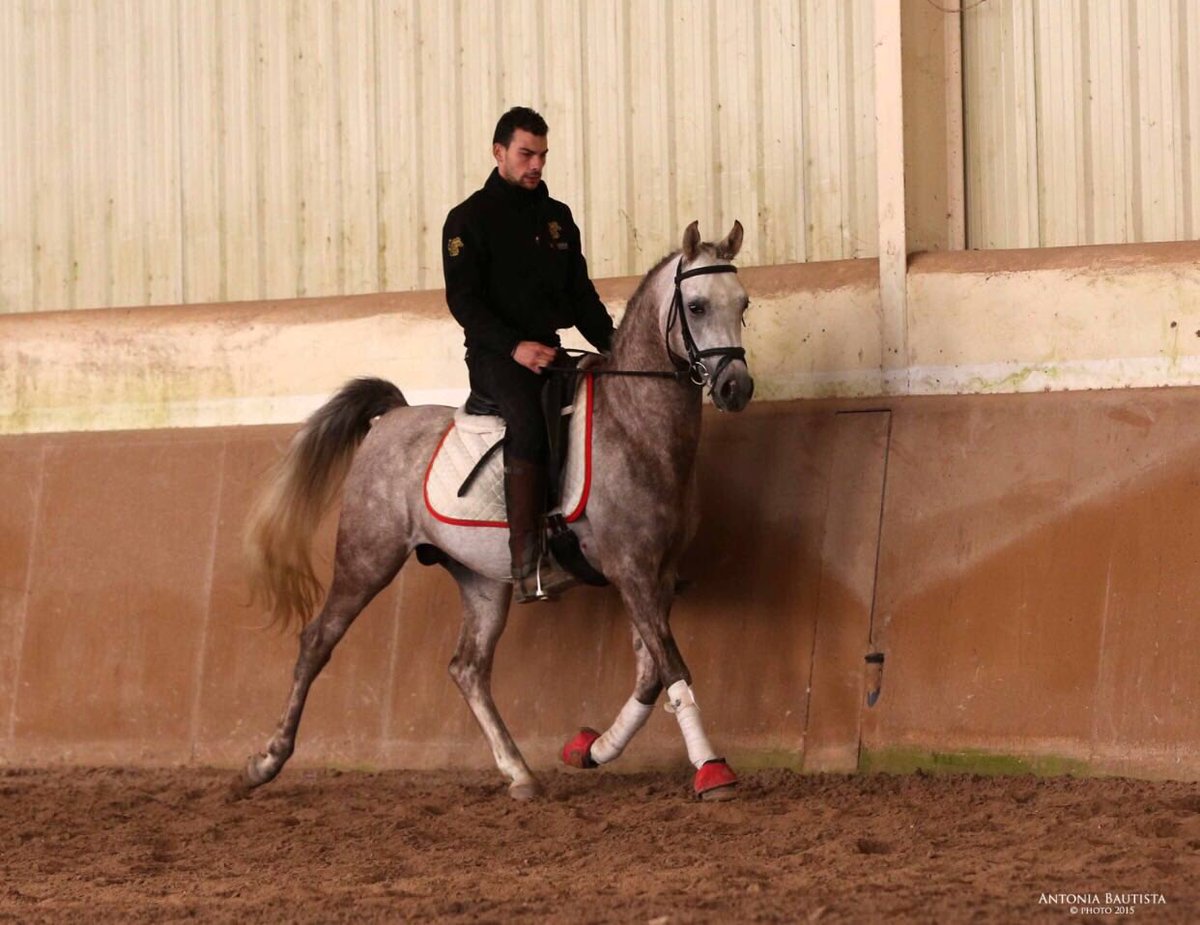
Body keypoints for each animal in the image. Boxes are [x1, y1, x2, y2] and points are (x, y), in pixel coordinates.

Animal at [232, 220, 755, 802]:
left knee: (468, 669)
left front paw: (591, 749)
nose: (736, 387)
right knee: (317, 641)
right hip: (367, 559)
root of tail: (391, 418)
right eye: (697, 306)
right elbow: (673, 668)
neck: (634, 428)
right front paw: (712, 769)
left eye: (743, 304)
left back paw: (520, 773)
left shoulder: (656, 575)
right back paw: (264, 764)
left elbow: (650, 674)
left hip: (481, 579)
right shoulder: (632, 571)